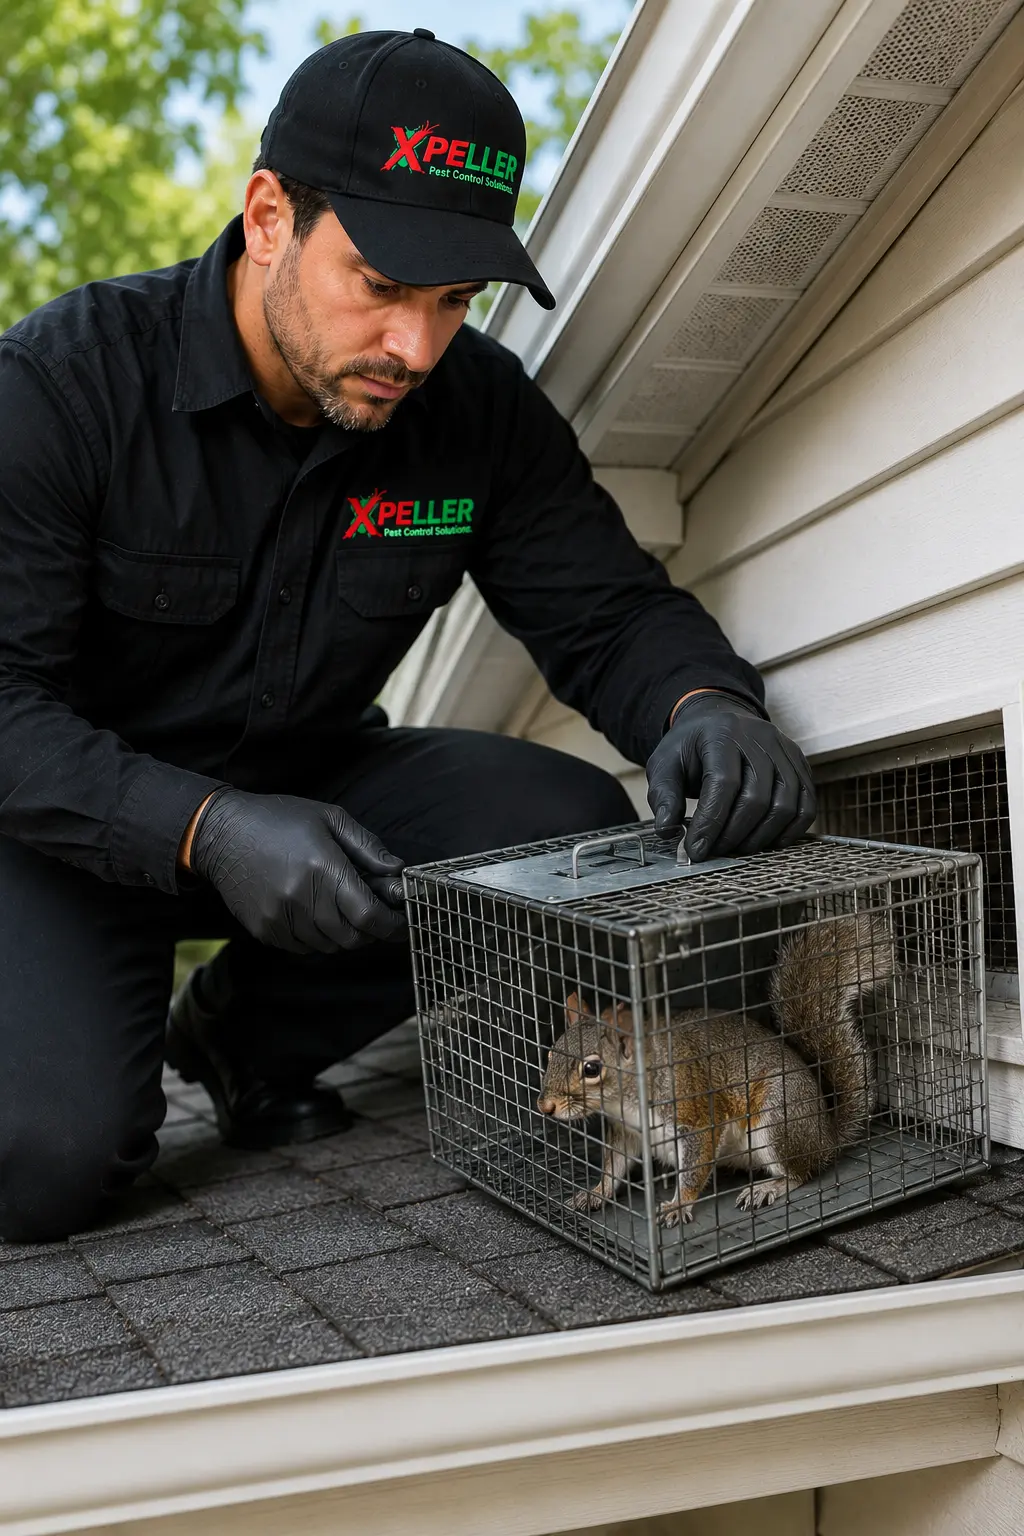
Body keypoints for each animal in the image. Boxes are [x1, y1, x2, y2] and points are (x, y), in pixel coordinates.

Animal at [537, 913, 892, 1228]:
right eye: (551, 1054)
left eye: (591, 1068)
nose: (545, 1106)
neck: (626, 1099)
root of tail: (826, 1136)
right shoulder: (627, 1131)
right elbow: (615, 1165)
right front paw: (596, 1192)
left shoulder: (693, 1113)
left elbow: (694, 1165)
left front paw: (678, 1204)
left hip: (777, 1116)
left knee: (801, 1172)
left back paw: (768, 1186)